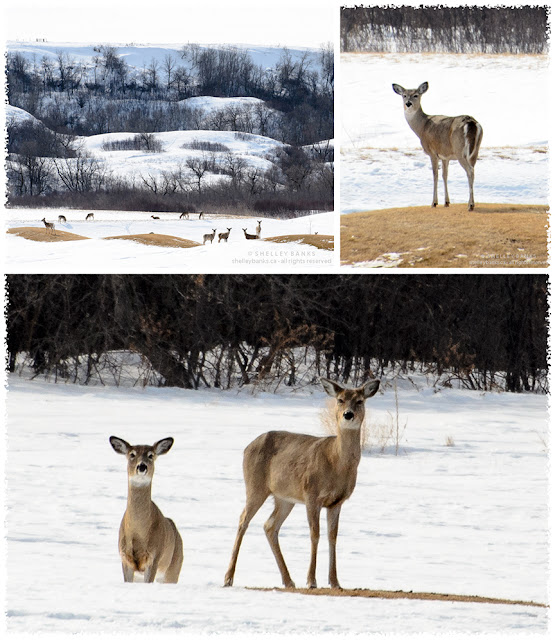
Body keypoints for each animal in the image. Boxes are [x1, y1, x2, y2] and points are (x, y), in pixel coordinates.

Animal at [109, 438, 184, 584]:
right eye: (132, 454)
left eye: (151, 455)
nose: (142, 466)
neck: (138, 533)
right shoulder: (125, 557)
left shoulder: (154, 556)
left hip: (173, 568)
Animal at [224, 376, 380, 592]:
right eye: (340, 399)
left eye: (360, 401)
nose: (348, 415)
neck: (336, 462)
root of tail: (247, 447)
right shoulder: (311, 495)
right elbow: (315, 534)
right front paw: (311, 580)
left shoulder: (337, 502)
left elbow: (333, 536)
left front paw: (335, 581)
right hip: (255, 486)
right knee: (243, 521)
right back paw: (228, 578)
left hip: (284, 498)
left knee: (269, 525)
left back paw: (288, 580)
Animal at [394, 81, 484, 211]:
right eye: (404, 95)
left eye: (416, 95)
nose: (408, 103)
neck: (422, 127)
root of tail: (471, 122)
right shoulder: (445, 156)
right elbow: (444, 175)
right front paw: (446, 202)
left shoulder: (432, 152)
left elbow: (435, 175)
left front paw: (434, 202)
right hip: (475, 150)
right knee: (473, 170)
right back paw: (471, 203)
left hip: (460, 150)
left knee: (470, 171)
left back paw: (470, 205)